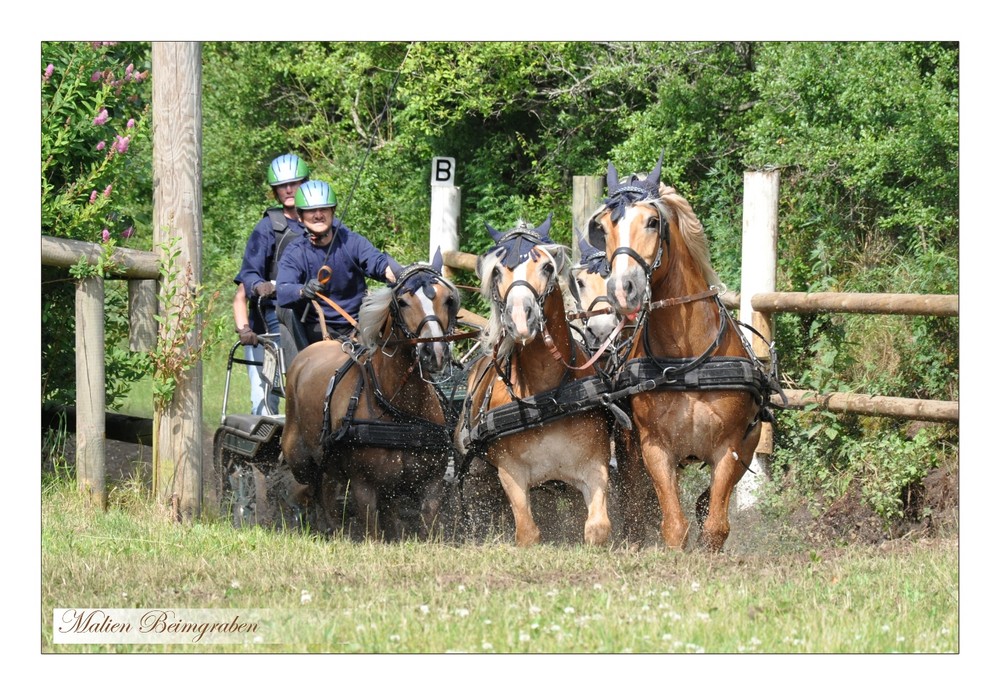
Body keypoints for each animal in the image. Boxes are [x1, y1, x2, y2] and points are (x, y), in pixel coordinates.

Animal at [284, 251, 462, 544]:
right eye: (402, 302)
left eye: (447, 299)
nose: (433, 352)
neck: (400, 409)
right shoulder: (364, 486)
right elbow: (372, 532)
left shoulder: (430, 483)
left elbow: (425, 525)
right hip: (300, 457)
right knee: (313, 492)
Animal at [458, 215, 612, 548]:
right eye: (497, 271)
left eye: (546, 267)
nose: (519, 318)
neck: (545, 398)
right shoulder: (510, 472)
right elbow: (527, 533)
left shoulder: (594, 465)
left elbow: (597, 528)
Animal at [588, 158, 784, 556]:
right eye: (605, 227)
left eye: (652, 221)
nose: (622, 289)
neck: (685, 362)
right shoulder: (654, 449)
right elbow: (674, 525)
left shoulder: (730, 448)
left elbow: (715, 525)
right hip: (630, 452)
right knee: (636, 504)